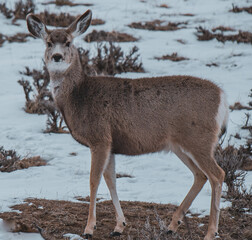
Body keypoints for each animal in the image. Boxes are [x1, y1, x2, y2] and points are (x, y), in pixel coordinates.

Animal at [26, 9, 229, 240]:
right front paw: (119, 225)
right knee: (200, 175)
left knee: (217, 174)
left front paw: (89, 228)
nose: (57, 57)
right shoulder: (111, 144)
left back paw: (210, 231)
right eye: (49, 42)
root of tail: (223, 98)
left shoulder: (100, 138)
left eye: (68, 42)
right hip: (180, 144)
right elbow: (111, 180)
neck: (78, 97)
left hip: (199, 139)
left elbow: (94, 180)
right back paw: (172, 224)